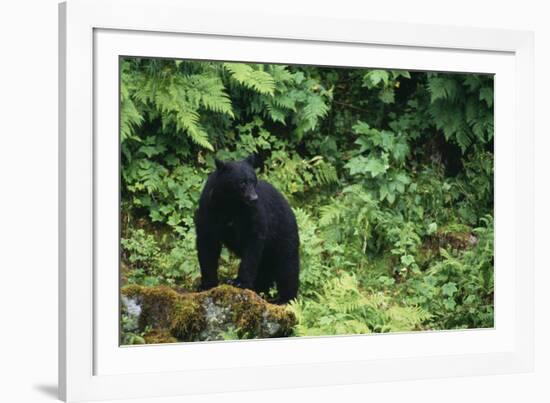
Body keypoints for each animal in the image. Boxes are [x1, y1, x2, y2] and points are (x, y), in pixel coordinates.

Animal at [196, 155, 302, 304]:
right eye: (242, 183)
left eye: (253, 181)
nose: (253, 198)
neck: (231, 204)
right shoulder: (210, 209)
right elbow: (207, 243)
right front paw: (206, 284)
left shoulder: (252, 213)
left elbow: (252, 243)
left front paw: (239, 282)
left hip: (284, 233)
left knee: (287, 266)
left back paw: (285, 299)